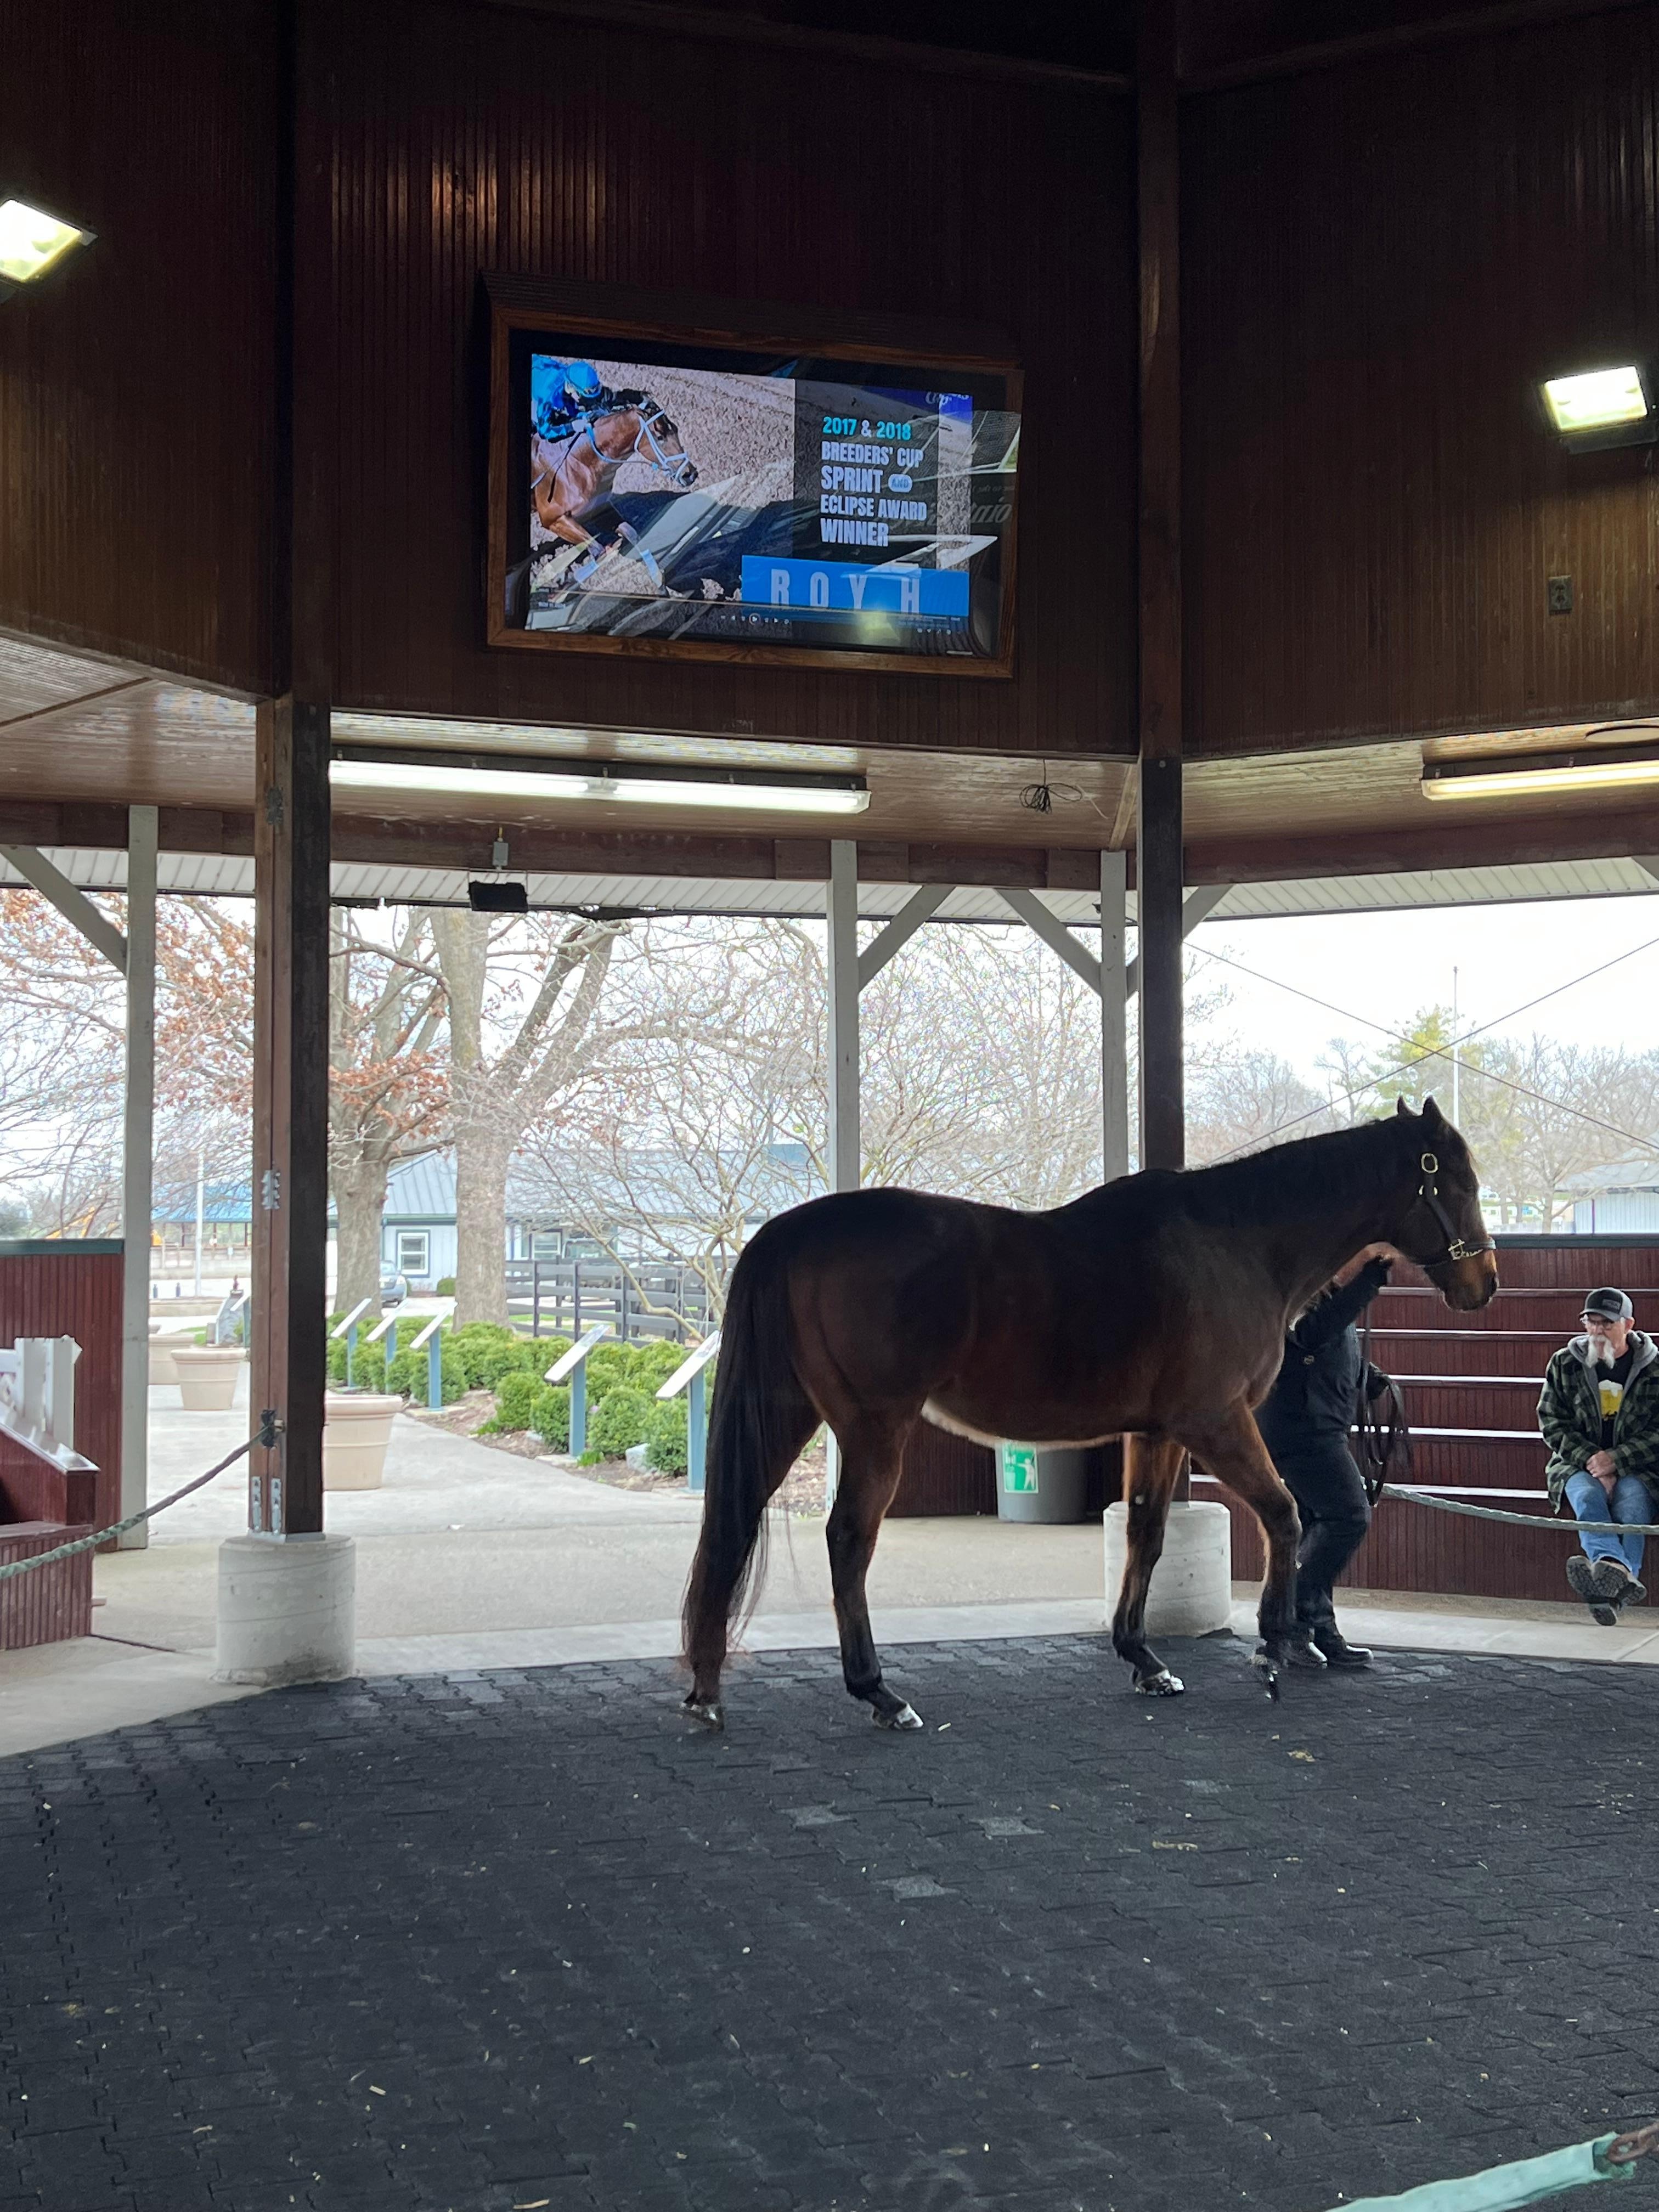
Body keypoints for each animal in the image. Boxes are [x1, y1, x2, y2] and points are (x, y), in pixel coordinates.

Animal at [530, 395, 697, 552]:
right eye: (660, 437)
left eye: (675, 428)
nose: (690, 474)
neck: (579, 464)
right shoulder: (554, 521)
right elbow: (598, 550)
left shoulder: (599, 508)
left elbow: (632, 535)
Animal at [681, 1097, 1497, 1732]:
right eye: (1458, 1182)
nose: (1483, 1283)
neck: (1237, 1242)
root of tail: (795, 1230)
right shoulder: (1215, 1421)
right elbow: (1284, 1515)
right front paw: (1271, 1648)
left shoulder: (1158, 1432)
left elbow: (1146, 1533)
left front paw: (1144, 1658)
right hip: (875, 1427)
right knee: (848, 1540)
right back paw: (880, 1694)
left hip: (792, 1416)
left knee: (734, 1526)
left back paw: (708, 1689)